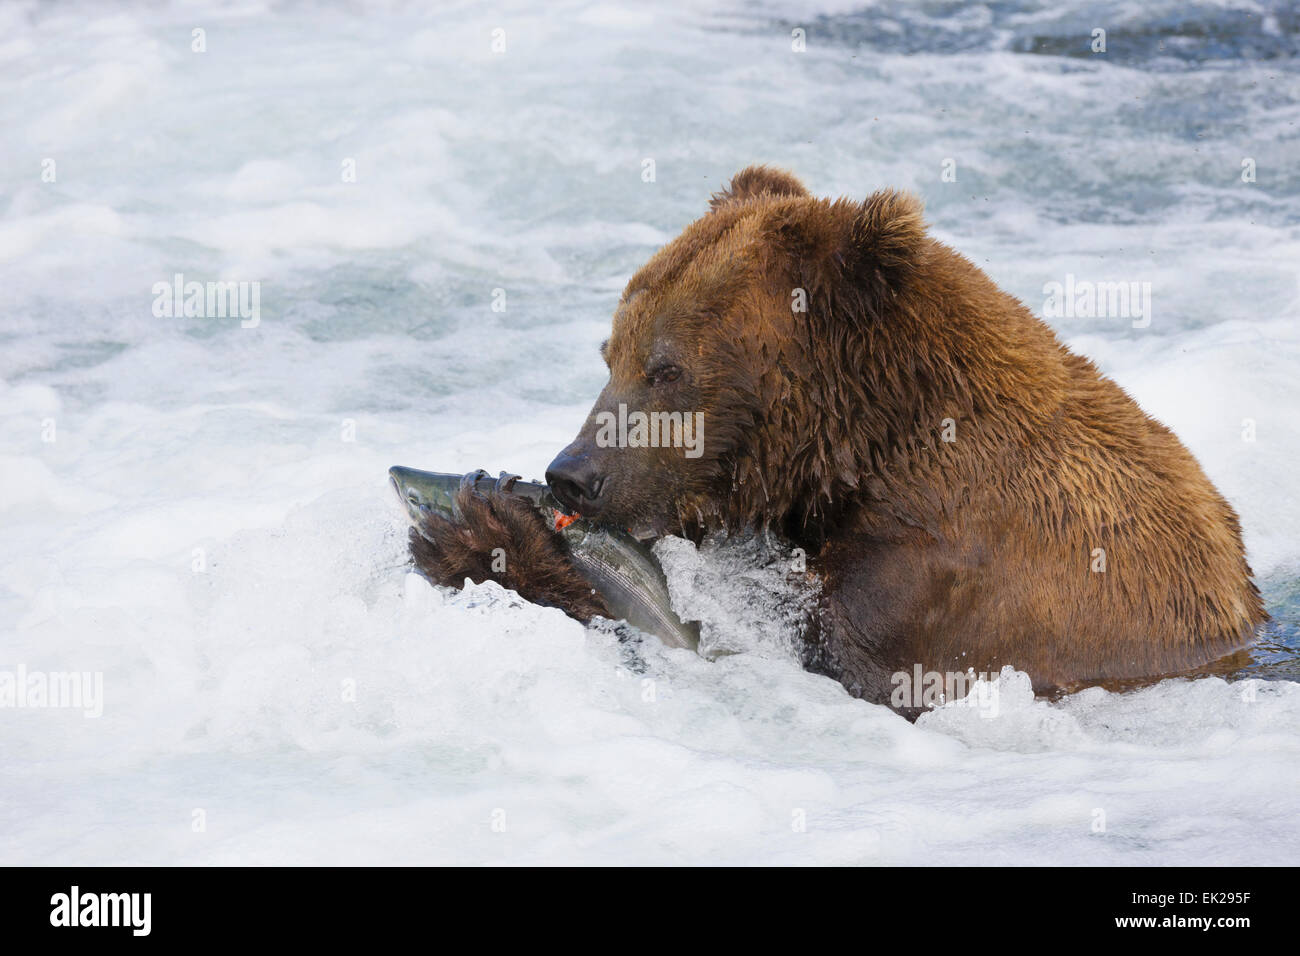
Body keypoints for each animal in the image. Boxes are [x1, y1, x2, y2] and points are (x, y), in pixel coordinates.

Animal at [411, 165, 1265, 711]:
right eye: (609, 351)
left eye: (665, 368)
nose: (571, 474)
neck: (866, 447)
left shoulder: (949, 586)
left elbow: (800, 663)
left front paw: (490, 531)